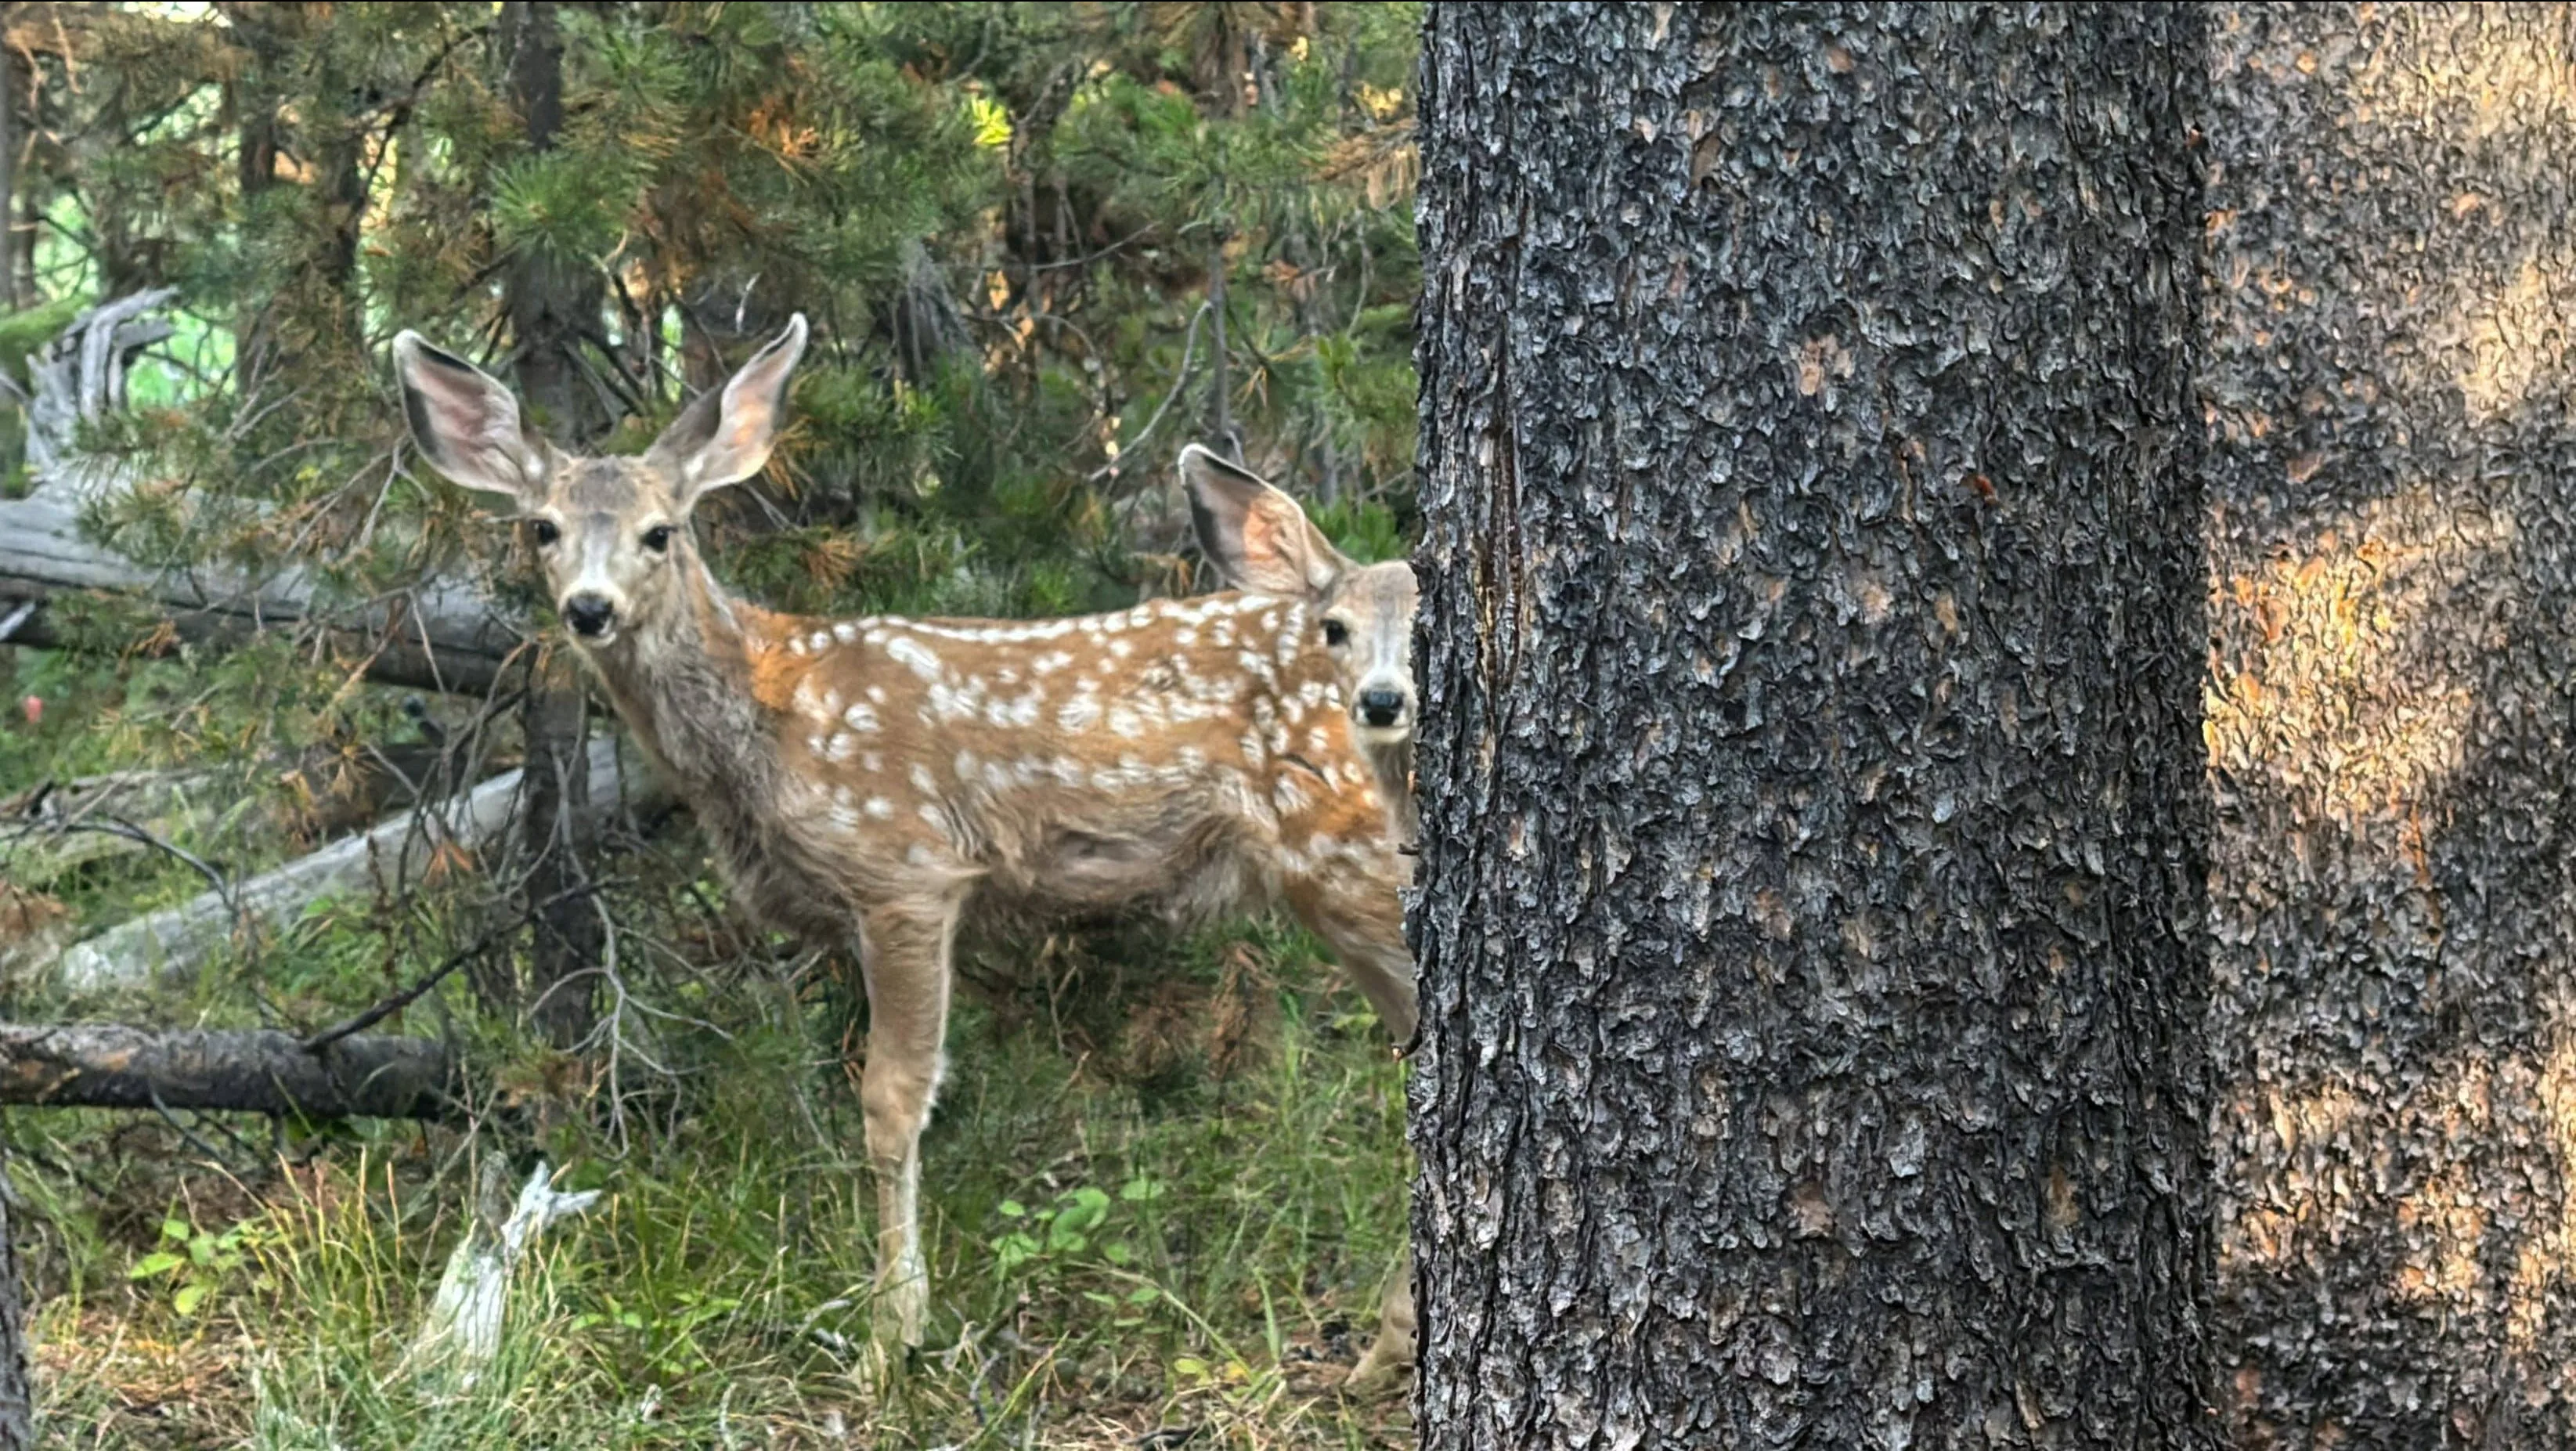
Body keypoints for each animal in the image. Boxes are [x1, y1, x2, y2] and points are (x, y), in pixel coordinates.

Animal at [391, 315, 1420, 1383]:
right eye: (542, 528)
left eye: (659, 532)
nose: (588, 607)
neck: (767, 725)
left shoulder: (905, 867)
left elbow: (891, 1101)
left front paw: (893, 1335)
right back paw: (1384, 1345)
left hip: (1352, 857)